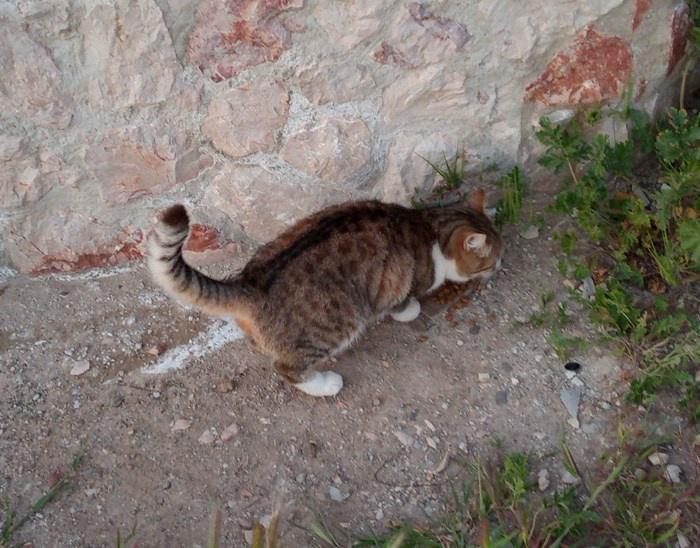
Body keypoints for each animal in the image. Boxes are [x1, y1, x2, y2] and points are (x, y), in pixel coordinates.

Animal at [147, 189, 502, 397]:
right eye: (491, 260)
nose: (500, 265)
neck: (430, 227)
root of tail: (252, 282)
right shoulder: (399, 283)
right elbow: (402, 304)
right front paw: (411, 309)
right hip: (335, 326)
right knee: (287, 368)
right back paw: (326, 384)